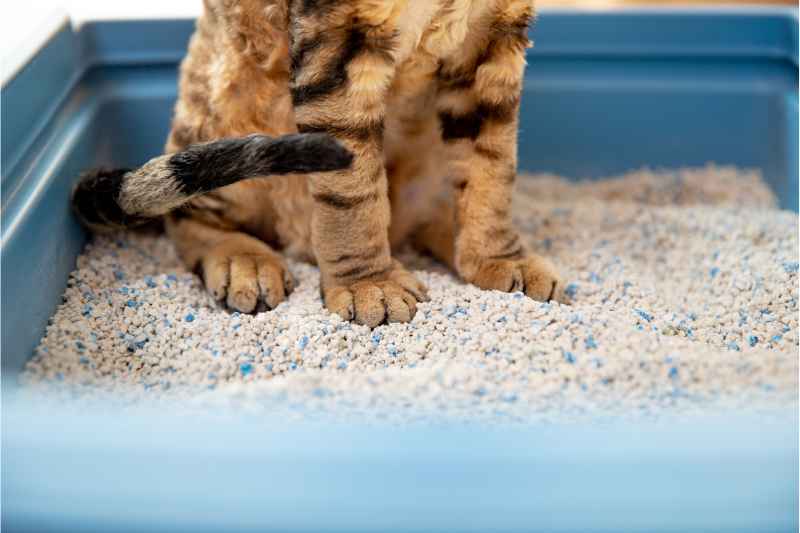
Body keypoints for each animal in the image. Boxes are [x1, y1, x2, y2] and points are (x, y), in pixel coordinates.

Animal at [73, 0, 564, 326]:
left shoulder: (493, 38)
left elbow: (492, 166)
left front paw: (499, 259)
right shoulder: (338, 39)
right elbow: (352, 192)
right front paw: (369, 285)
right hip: (226, 107)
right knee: (188, 215)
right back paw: (243, 260)